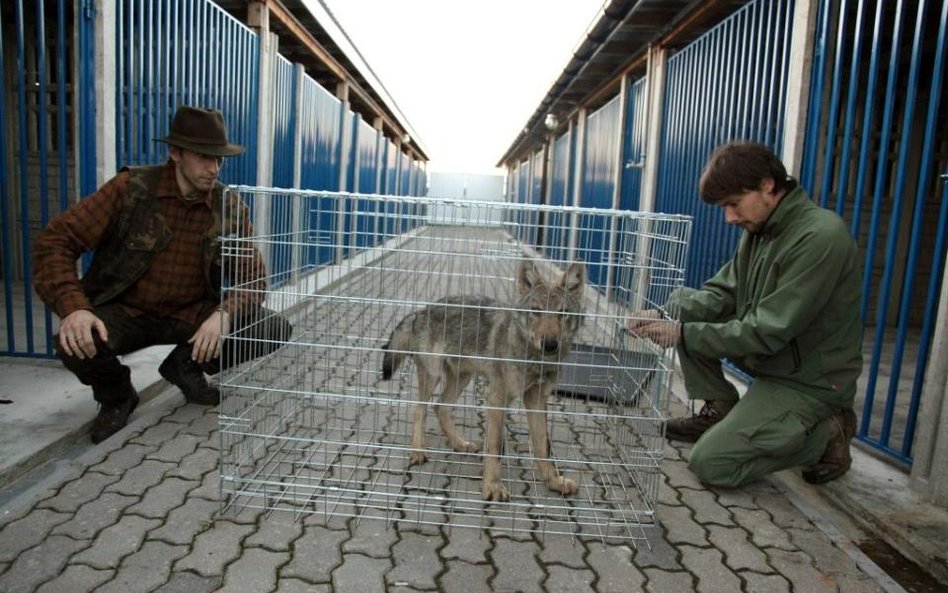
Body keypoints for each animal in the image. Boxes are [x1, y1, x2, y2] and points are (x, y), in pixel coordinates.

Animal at [380, 260, 584, 500]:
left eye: (563, 313)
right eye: (536, 310)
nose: (550, 344)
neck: (534, 359)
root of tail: (421, 310)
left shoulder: (537, 400)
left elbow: (543, 445)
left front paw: (554, 481)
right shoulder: (497, 398)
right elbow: (495, 447)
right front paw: (493, 487)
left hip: (462, 378)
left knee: (440, 407)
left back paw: (460, 443)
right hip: (433, 376)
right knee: (419, 409)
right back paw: (418, 450)